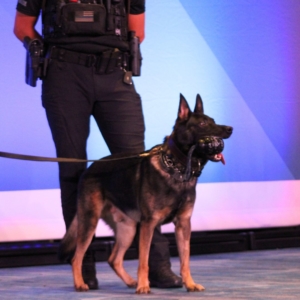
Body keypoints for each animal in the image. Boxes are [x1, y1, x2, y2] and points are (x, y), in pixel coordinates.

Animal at [58, 94, 232, 292]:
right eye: (202, 124)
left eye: (214, 121)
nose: (230, 129)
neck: (177, 167)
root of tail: (88, 170)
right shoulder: (148, 225)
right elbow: (143, 260)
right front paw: (143, 286)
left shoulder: (183, 225)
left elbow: (185, 260)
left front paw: (189, 284)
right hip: (90, 222)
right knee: (76, 258)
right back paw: (81, 283)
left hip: (128, 229)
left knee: (114, 259)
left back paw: (129, 281)